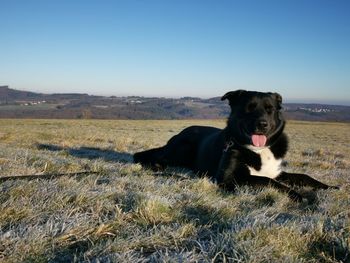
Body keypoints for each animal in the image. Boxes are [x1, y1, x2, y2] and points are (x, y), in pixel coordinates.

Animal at [134, 91, 336, 202]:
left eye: (270, 109)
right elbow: (268, 181)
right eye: (249, 108)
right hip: (182, 149)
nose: (262, 124)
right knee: (152, 157)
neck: (258, 150)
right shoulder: (229, 179)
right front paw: (297, 195)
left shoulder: (277, 172)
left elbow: (304, 176)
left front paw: (329, 187)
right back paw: (157, 166)